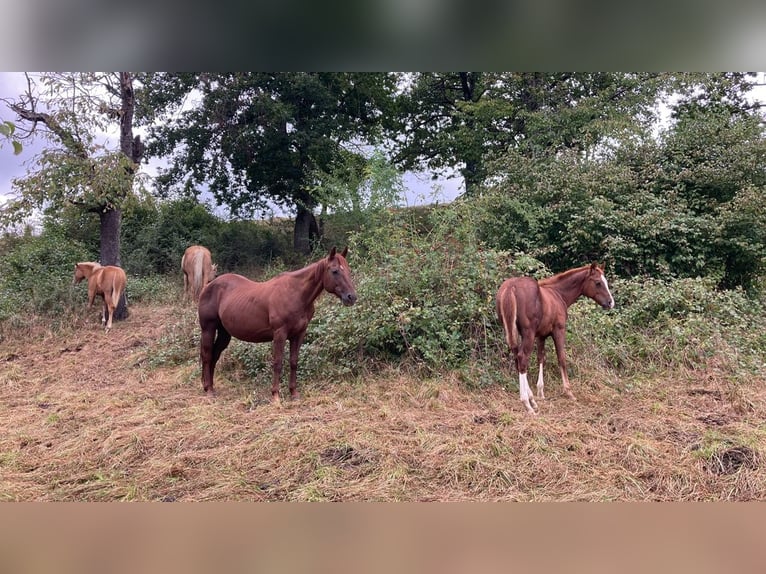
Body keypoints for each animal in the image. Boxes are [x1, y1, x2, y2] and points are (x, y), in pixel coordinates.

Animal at [195, 249, 356, 404]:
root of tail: (208, 286)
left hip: (224, 333)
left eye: (348, 270)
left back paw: (210, 387)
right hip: (208, 329)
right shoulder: (280, 334)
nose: (351, 297)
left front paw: (294, 393)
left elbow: (293, 362)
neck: (295, 294)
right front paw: (275, 395)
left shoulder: (299, 334)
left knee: (215, 355)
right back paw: (209, 390)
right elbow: (278, 363)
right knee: (207, 355)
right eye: (335, 271)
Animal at [498, 264, 616, 416]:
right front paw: (569, 392)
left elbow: (541, 358)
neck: (558, 294)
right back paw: (527, 404)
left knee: (517, 359)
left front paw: (540, 393)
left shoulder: (541, 336)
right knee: (522, 358)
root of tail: (510, 287)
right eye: (598, 283)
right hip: (528, 333)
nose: (610, 302)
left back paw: (532, 401)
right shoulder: (559, 330)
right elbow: (562, 358)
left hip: (512, 332)